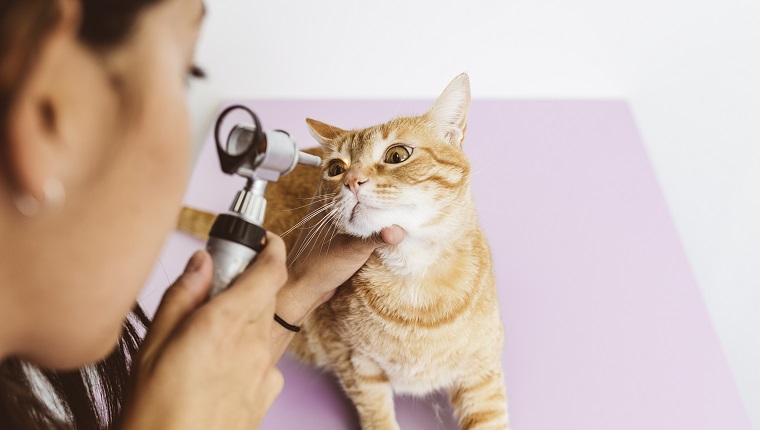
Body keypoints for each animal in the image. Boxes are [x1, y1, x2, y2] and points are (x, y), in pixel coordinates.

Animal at [179, 72, 510, 428]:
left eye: (397, 155)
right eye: (336, 168)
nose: (352, 181)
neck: (413, 278)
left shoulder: (482, 375)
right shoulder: (354, 364)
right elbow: (377, 413)